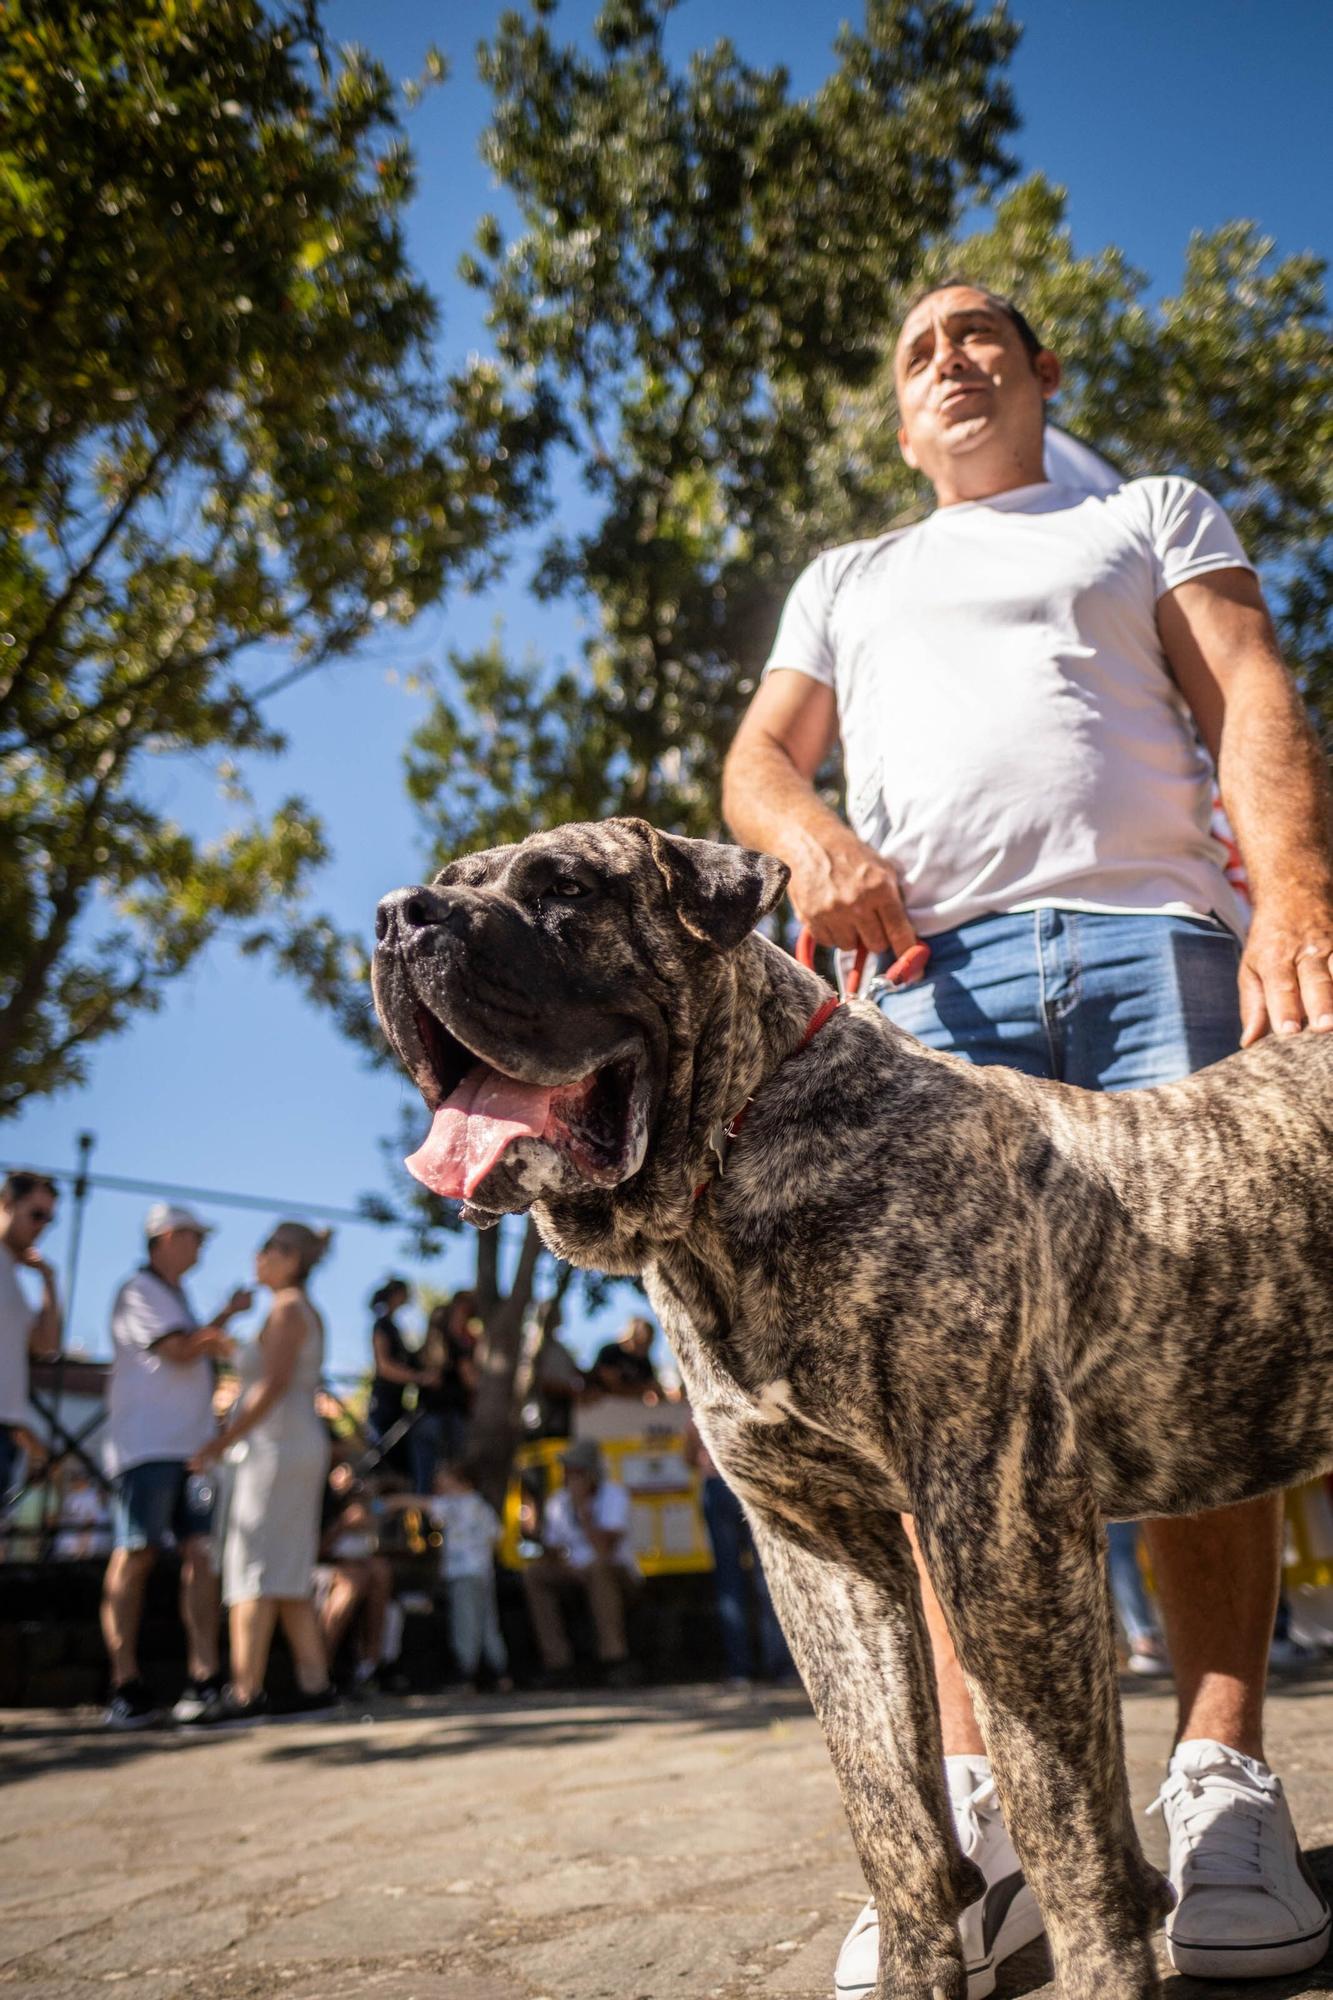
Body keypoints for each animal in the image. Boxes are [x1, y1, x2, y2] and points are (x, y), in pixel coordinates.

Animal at [366, 816, 1328, 2000]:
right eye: (446, 884)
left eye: (566, 889)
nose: (399, 917)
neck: (731, 1163)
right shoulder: (818, 1544)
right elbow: (887, 1803)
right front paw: (918, 1961)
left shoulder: (998, 1522)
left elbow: (1059, 1810)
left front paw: (1102, 1964)